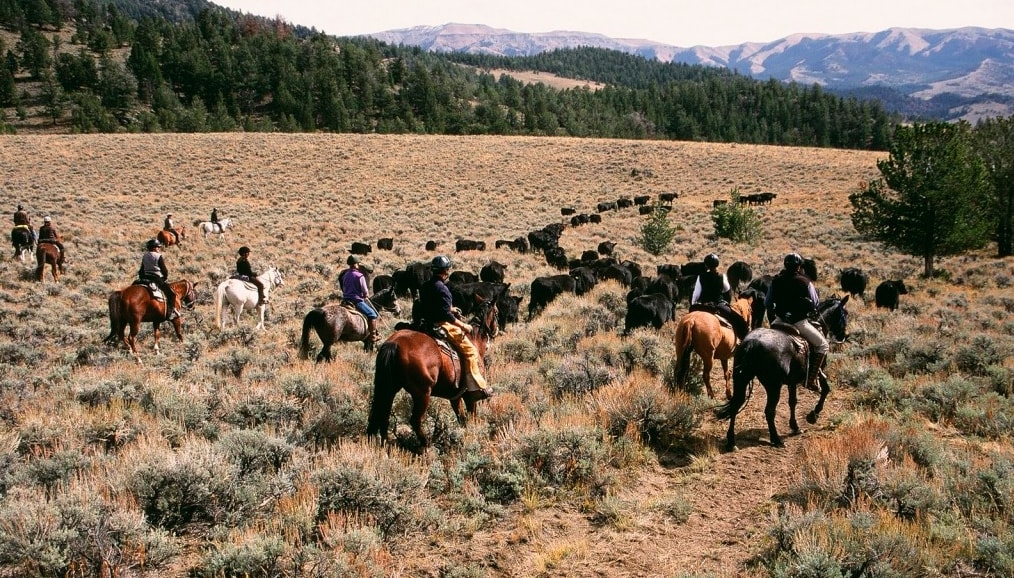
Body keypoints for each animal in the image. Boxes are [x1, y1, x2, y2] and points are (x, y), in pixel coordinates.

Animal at [369, 294, 502, 448]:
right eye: (497, 312)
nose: (497, 330)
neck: (474, 339)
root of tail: (394, 344)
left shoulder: (455, 396)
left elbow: (461, 418)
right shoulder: (470, 396)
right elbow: (471, 417)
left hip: (389, 389)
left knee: (383, 415)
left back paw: (385, 445)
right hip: (423, 394)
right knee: (415, 420)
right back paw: (426, 445)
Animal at [717, 296, 851, 450]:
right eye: (844, 313)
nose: (844, 335)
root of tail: (752, 343)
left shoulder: (792, 381)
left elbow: (792, 401)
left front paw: (795, 426)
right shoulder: (818, 371)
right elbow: (826, 389)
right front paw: (813, 415)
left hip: (741, 379)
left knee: (735, 405)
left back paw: (731, 442)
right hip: (773, 386)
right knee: (769, 411)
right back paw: (776, 439)